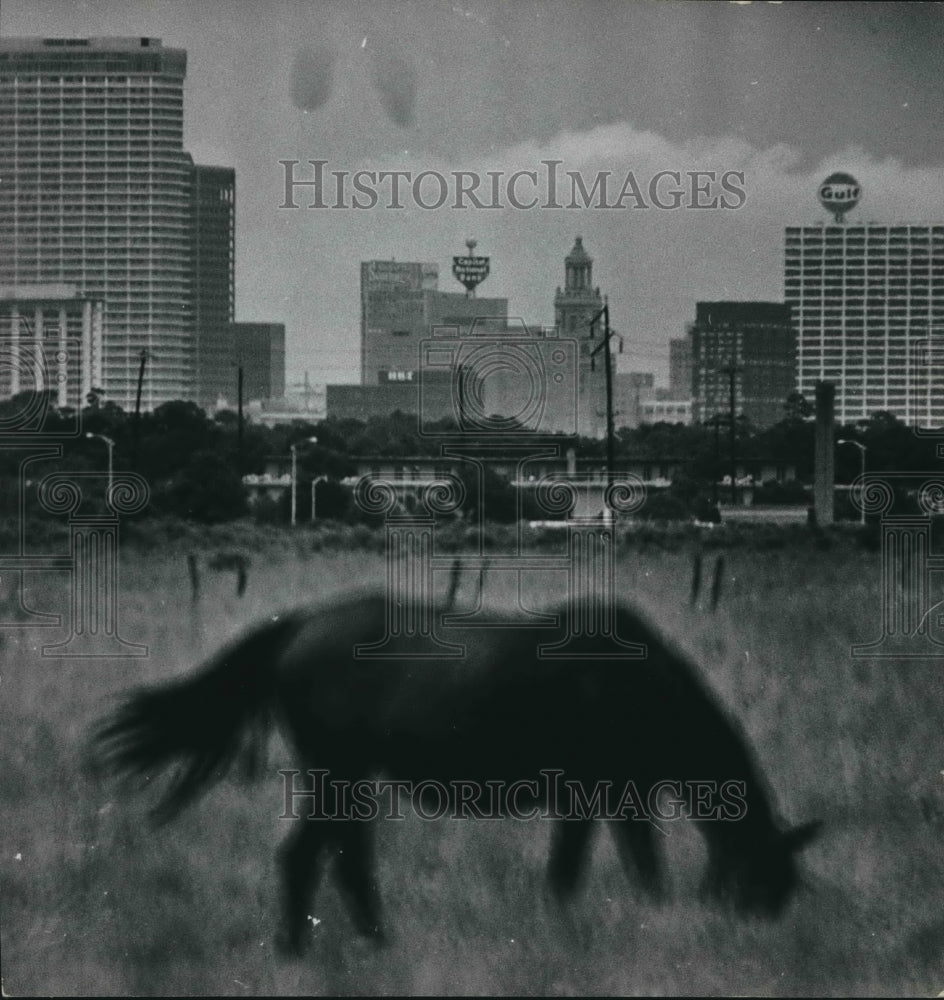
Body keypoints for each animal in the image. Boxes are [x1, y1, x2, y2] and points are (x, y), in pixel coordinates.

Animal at [90, 592, 820, 952]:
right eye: (765, 884)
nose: (753, 942)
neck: (636, 685)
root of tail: (300, 626)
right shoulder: (599, 797)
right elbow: (606, 870)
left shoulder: (609, 800)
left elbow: (598, 869)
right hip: (337, 773)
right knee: (310, 855)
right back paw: (304, 949)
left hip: (349, 780)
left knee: (340, 855)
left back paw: (369, 942)